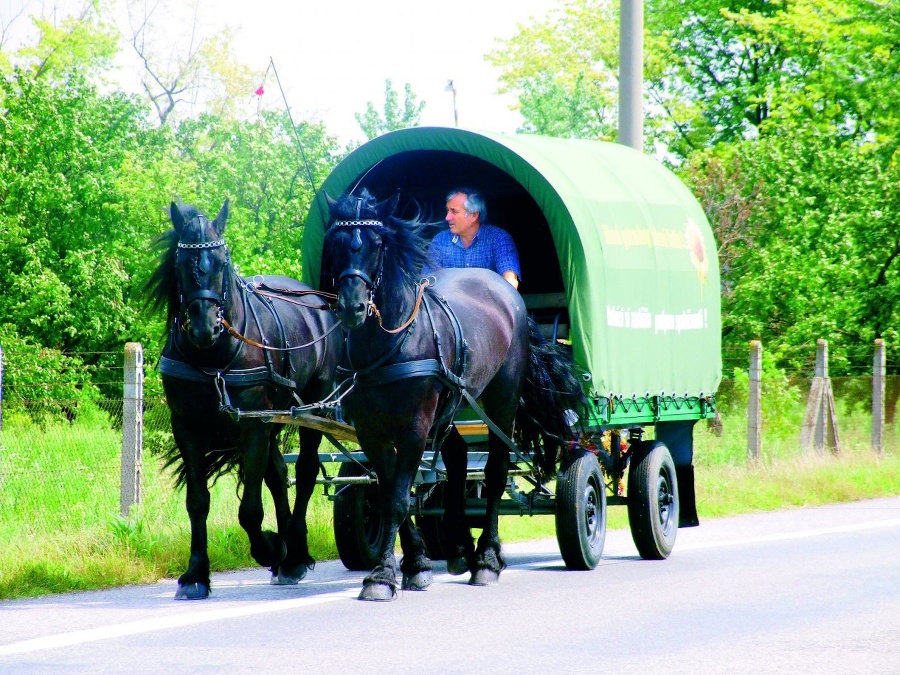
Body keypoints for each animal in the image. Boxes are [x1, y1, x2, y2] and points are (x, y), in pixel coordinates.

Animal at [146, 201, 342, 604]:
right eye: (181, 263)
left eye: (222, 261)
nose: (204, 328)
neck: (214, 357)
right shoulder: (187, 428)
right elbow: (197, 502)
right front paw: (195, 574)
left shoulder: (251, 426)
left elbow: (250, 510)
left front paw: (271, 547)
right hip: (275, 417)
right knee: (278, 474)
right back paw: (290, 556)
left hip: (312, 409)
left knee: (304, 471)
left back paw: (293, 552)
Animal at [324, 189, 584, 604]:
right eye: (334, 243)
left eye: (377, 245)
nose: (352, 307)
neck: (390, 342)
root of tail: (509, 295)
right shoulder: (371, 430)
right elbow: (390, 491)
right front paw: (414, 564)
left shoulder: (415, 426)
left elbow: (398, 497)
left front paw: (383, 576)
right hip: (452, 405)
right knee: (459, 460)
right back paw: (461, 546)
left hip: (499, 401)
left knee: (495, 472)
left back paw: (487, 560)